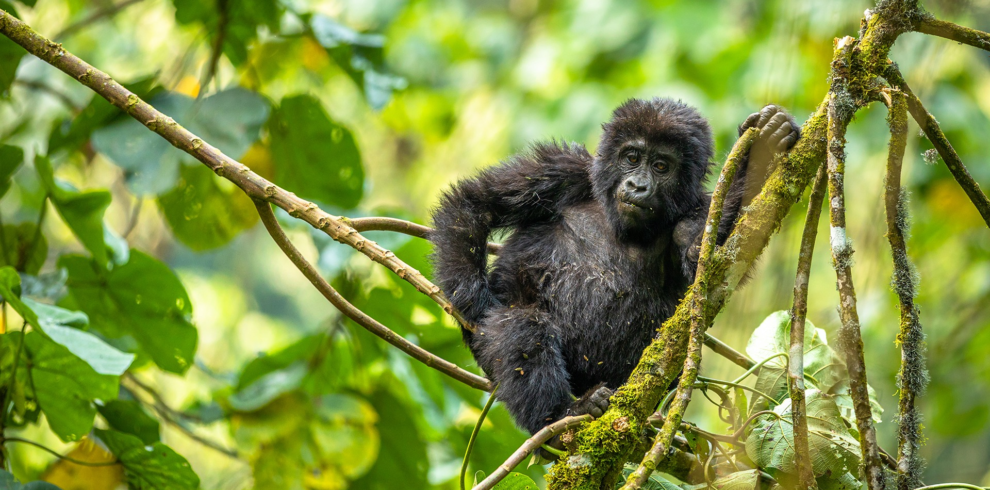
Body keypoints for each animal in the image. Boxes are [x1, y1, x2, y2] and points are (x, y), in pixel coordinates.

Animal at [430, 99, 800, 436]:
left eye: (662, 166)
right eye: (632, 158)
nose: (637, 186)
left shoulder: (699, 210)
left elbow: (709, 260)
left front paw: (763, 151)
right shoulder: (562, 169)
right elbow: (476, 203)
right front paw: (474, 301)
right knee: (521, 327)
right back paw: (560, 415)